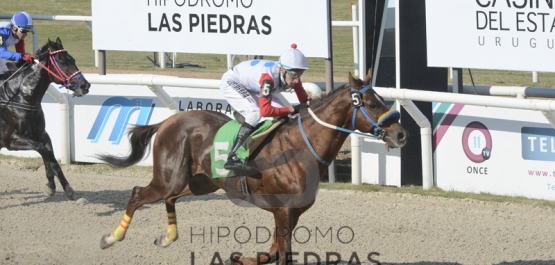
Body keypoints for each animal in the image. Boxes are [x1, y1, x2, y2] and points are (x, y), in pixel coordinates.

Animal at [0, 36, 91, 198]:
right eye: (62, 61)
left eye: (73, 59)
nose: (85, 86)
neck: (22, 97)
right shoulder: (11, 140)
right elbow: (45, 152)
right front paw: (63, 189)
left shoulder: (41, 134)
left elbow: (51, 157)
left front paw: (57, 187)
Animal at [96, 71, 408, 262]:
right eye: (370, 103)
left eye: (382, 99)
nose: (401, 134)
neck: (301, 146)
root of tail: (168, 121)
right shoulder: (283, 210)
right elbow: (282, 255)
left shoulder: (293, 213)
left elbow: (272, 253)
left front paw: (242, 258)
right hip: (169, 178)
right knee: (139, 193)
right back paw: (112, 238)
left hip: (198, 183)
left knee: (170, 198)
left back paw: (167, 237)